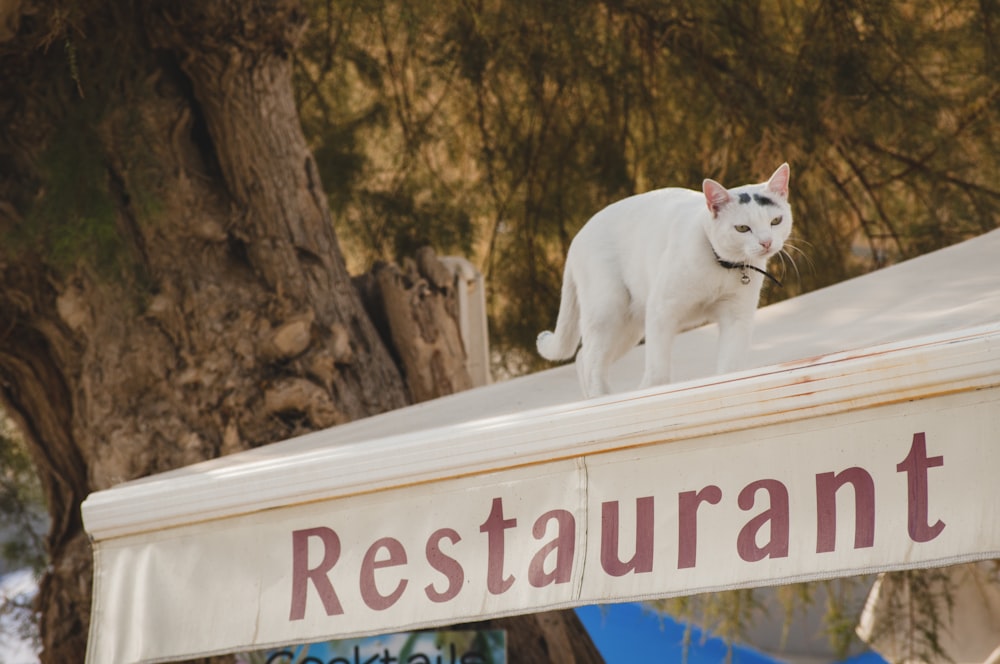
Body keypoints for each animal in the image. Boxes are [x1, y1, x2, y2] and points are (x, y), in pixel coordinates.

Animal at [536, 163, 792, 396]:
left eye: (776, 221)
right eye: (742, 228)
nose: (766, 242)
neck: (722, 266)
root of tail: (576, 238)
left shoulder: (737, 317)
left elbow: (730, 367)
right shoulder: (662, 312)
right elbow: (658, 373)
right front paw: (649, 393)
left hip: (628, 326)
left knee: (582, 358)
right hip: (608, 312)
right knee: (591, 361)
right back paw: (602, 400)